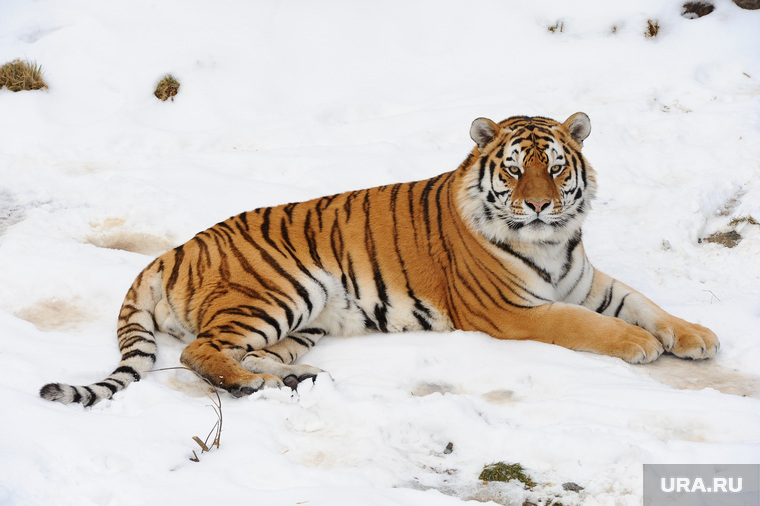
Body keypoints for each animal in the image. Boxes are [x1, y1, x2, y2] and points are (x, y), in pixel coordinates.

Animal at [40, 113, 720, 408]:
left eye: (554, 168)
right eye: (512, 169)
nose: (537, 205)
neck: (552, 242)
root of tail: (167, 254)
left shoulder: (583, 279)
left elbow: (642, 302)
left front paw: (696, 336)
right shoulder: (512, 311)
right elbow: (589, 325)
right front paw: (639, 346)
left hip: (303, 321)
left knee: (242, 353)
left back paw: (291, 380)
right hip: (281, 289)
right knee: (198, 353)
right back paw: (254, 388)